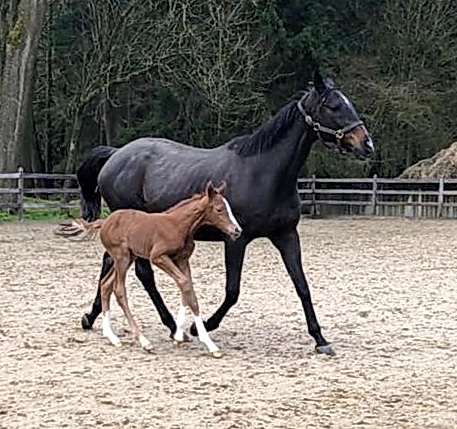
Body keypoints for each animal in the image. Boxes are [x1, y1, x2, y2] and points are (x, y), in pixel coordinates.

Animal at [58, 182, 242, 356]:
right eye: (219, 209)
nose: (237, 230)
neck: (179, 224)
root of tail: (105, 221)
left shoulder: (182, 260)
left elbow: (187, 288)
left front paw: (179, 336)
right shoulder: (158, 257)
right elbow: (185, 285)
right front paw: (209, 344)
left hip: (128, 258)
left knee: (105, 284)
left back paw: (112, 337)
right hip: (121, 257)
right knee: (119, 290)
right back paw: (143, 341)